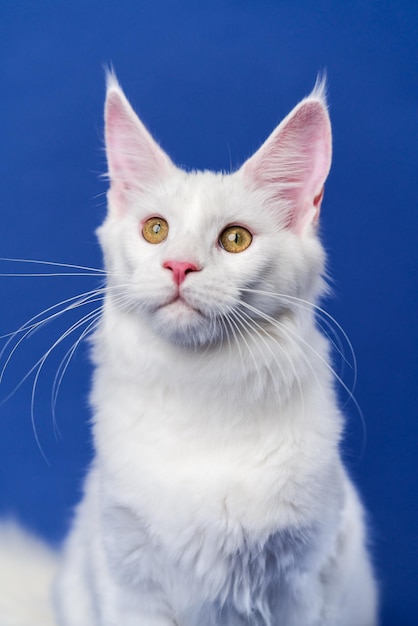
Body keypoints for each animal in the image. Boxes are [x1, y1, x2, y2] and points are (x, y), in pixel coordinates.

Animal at [0, 75, 378, 620]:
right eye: (155, 230)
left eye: (236, 239)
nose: (179, 265)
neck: (198, 394)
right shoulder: (127, 580)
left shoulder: (301, 583)